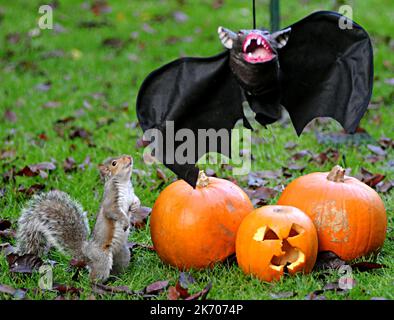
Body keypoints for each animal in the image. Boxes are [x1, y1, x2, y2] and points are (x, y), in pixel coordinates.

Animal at [15, 154, 142, 282]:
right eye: (114, 163)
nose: (129, 157)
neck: (124, 183)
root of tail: (86, 255)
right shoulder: (111, 199)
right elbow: (113, 212)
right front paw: (125, 222)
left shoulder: (131, 195)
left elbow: (135, 201)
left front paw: (135, 207)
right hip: (102, 258)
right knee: (95, 276)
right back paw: (98, 284)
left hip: (123, 253)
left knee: (117, 268)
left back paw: (120, 278)